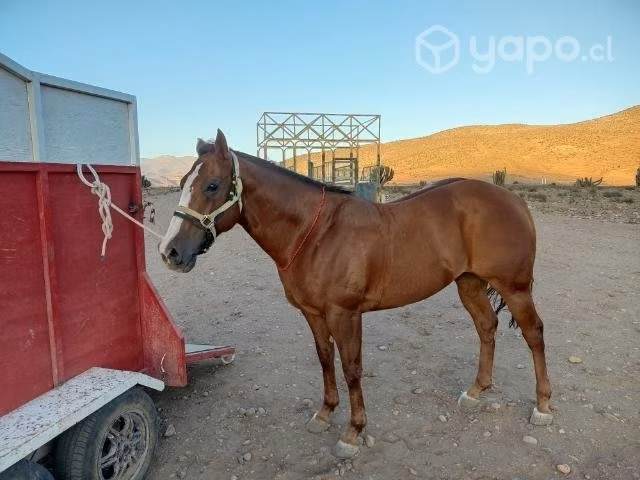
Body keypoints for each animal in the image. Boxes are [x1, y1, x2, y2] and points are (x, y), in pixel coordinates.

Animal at [158, 129, 553, 458]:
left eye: (212, 185)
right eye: (183, 182)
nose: (170, 252)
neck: (316, 233)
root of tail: (514, 200)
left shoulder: (345, 314)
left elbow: (351, 368)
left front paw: (353, 432)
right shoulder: (313, 314)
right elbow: (325, 360)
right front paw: (324, 414)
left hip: (515, 288)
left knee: (534, 333)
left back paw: (543, 406)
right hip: (469, 284)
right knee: (487, 328)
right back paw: (475, 392)